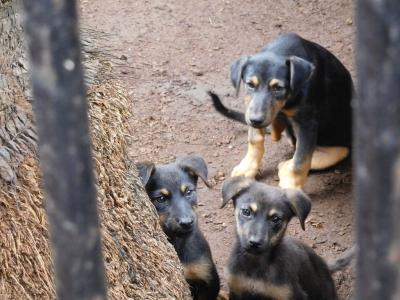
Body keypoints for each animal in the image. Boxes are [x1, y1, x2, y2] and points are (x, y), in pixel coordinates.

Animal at [209, 32, 354, 190]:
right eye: (250, 84)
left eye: (278, 88)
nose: (255, 120)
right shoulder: (253, 110)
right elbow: (254, 140)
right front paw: (247, 168)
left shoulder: (307, 122)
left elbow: (301, 160)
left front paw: (291, 187)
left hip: (340, 143)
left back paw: (285, 167)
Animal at [220, 177, 354, 298]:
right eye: (246, 211)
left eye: (275, 219)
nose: (255, 243)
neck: (255, 264)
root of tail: (325, 265)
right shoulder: (236, 289)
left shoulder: (293, 294)